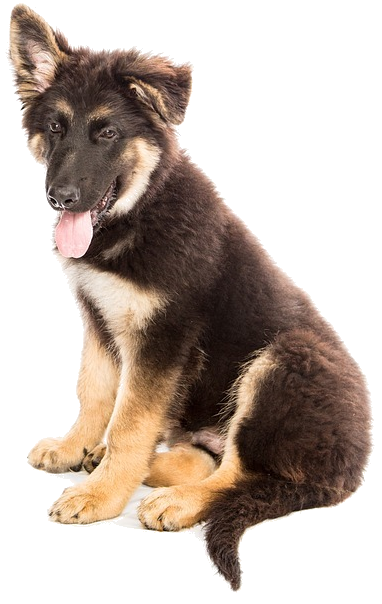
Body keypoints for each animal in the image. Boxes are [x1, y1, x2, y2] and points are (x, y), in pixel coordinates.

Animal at [10, 4, 372, 588]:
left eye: (107, 132)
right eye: (55, 128)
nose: (60, 197)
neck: (139, 211)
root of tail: (349, 471)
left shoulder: (163, 336)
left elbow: (132, 421)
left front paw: (101, 496)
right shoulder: (97, 315)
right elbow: (94, 390)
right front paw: (75, 447)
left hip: (284, 360)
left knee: (240, 473)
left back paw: (174, 501)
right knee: (213, 458)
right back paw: (128, 463)